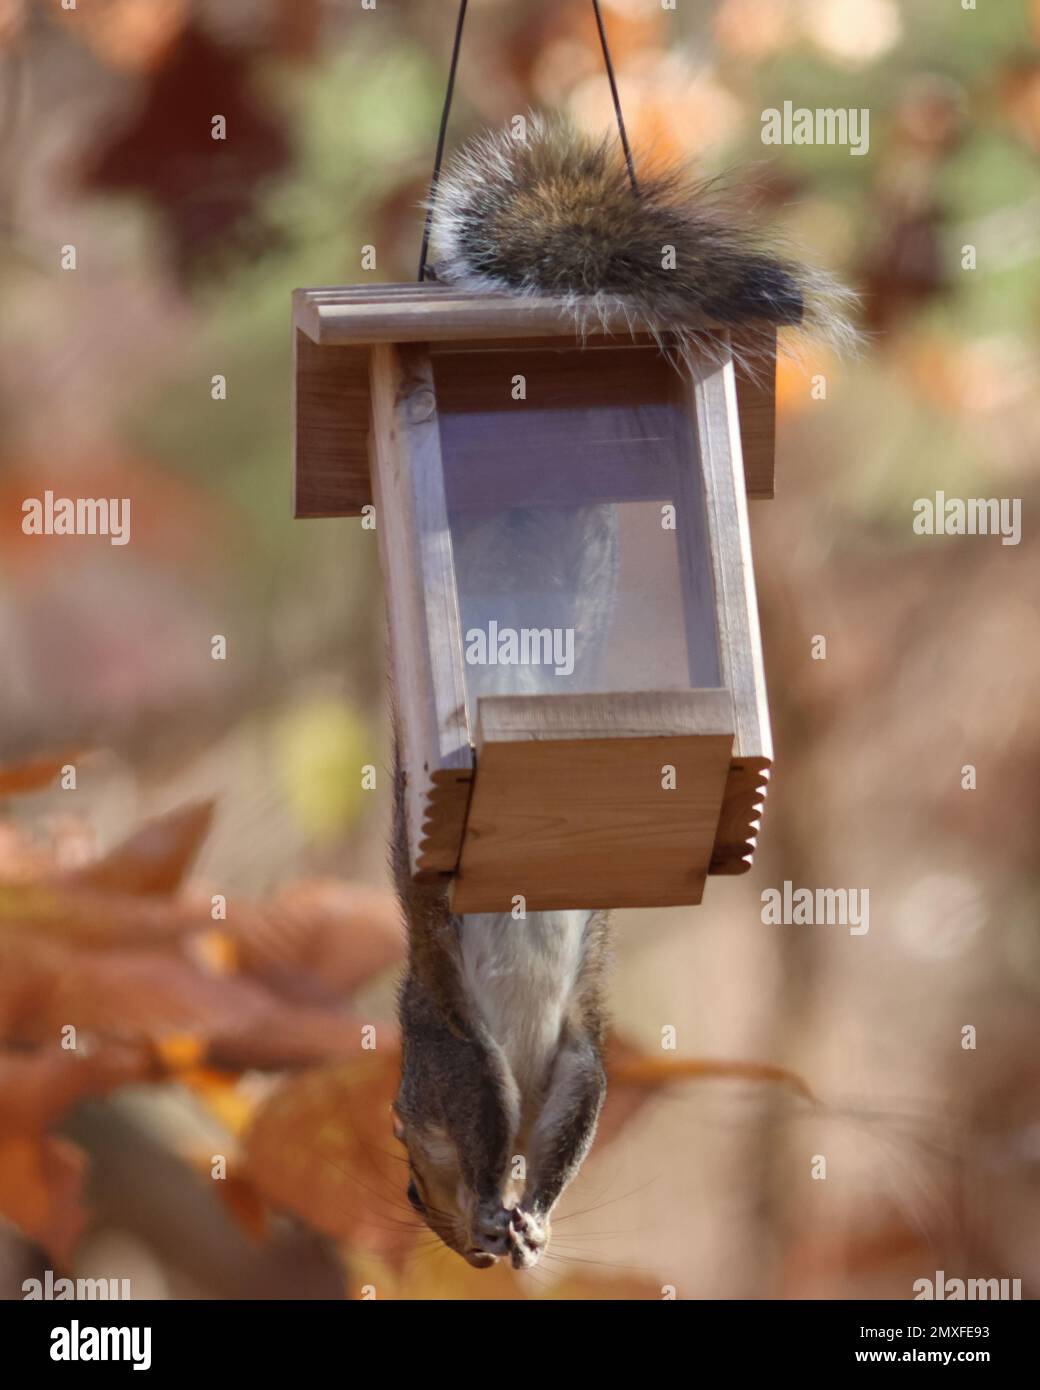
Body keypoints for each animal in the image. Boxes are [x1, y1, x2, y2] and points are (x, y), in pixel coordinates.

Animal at [391, 118, 857, 1270]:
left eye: (408, 1182)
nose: (466, 1253)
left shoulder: (485, 1061)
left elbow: (522, 1133)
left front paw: (520, 1213)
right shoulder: (522, 1056)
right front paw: (517, 1217)